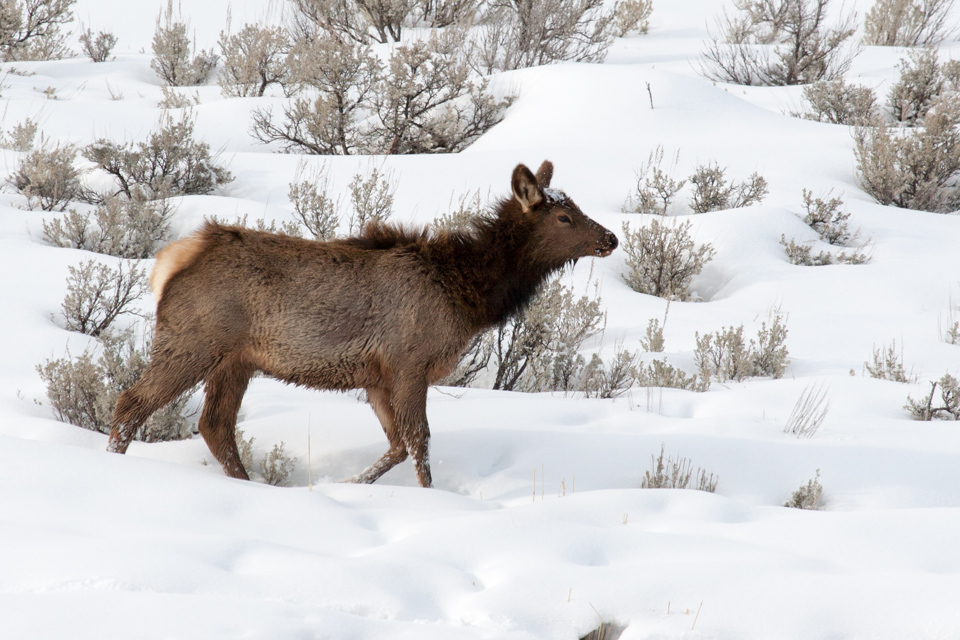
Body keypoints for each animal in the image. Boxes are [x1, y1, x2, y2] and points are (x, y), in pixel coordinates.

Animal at [107, 161, 618, 488]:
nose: (611, 238)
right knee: (133, 402)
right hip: (193, 340)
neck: (468, 295)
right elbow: (420, 441)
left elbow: (396, 445)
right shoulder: (410, 363)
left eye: (575, 206)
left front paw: (353, 485)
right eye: (564, 215)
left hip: (236, 360)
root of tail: (172, 260)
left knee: (215, 425)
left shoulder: (376, 376)